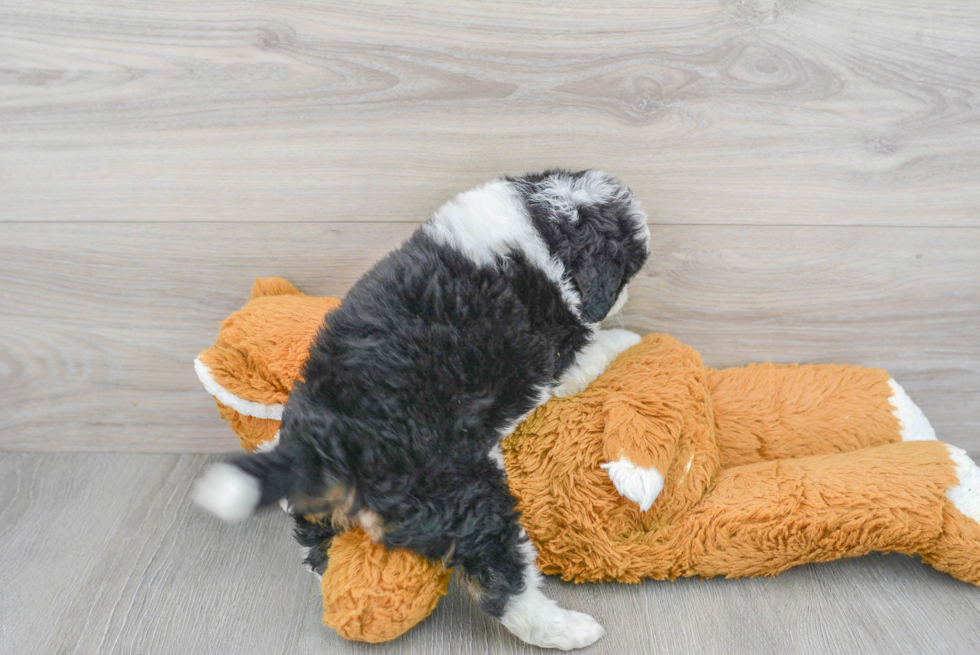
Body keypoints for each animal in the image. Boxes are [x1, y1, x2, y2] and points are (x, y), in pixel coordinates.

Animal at [191, 169, 652, 652]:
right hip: (462, 492)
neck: (540, 227)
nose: (623, 300)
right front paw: (629, 338)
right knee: (500, 578)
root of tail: (326, 445)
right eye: (630, 267)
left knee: (314, 542)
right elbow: (595, 350)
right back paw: (568, 628)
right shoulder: (558, 358)